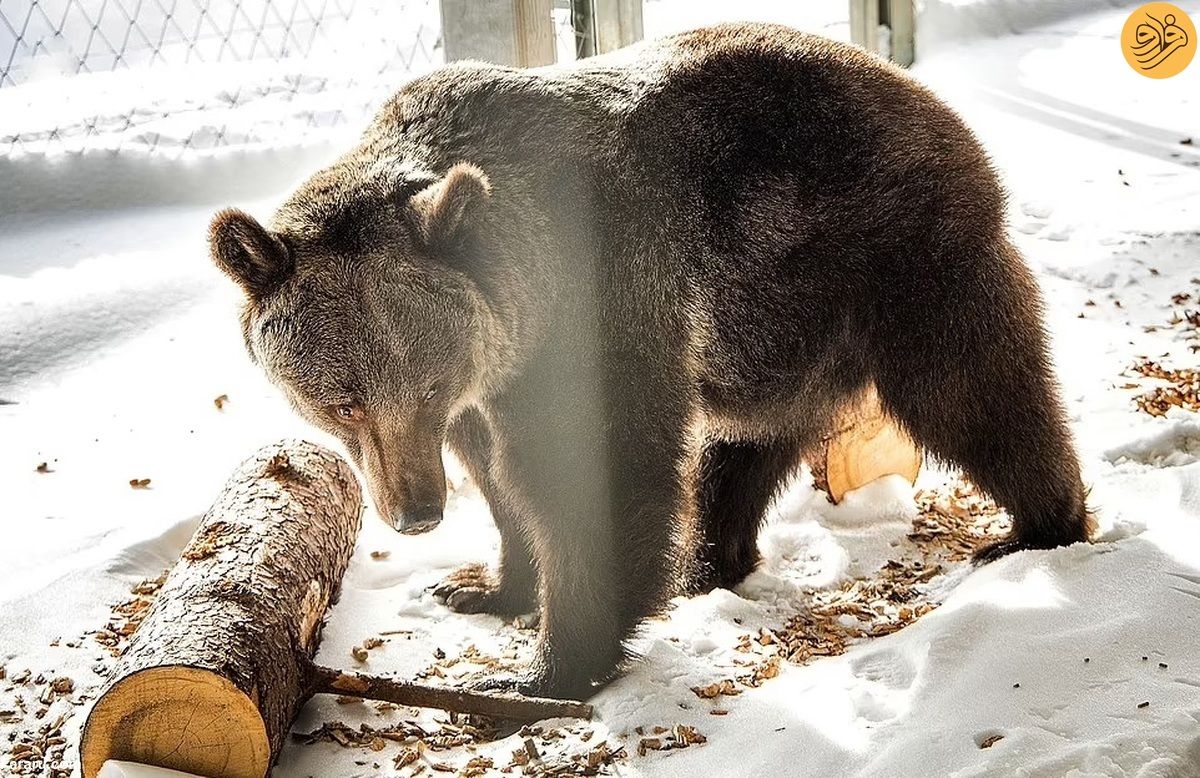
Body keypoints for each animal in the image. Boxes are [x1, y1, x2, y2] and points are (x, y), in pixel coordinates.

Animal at [211, 22, 1094, 701]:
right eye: (342, 401)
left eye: (421, 387)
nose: (415, 513)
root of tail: (937, 105)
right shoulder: (489, 372)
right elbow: (499, 478)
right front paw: (485, 586)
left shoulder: (595, 309)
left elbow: (592, 470)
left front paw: (546, 668)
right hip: (776, 325)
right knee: (741, 446)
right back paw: (705, 560)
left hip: (894, 255)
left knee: (972, 391)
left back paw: (1036, 527)